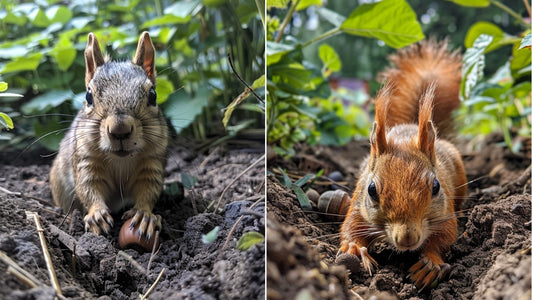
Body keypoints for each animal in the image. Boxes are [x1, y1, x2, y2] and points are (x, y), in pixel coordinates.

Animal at [340, 41, 466, 290]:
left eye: (436, 186)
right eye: (371, 190)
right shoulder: (358, 206)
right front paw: (354, 248)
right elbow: (350, 227)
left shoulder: (445, 214)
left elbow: (445, 237)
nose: (407, 238)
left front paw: (430, 264)